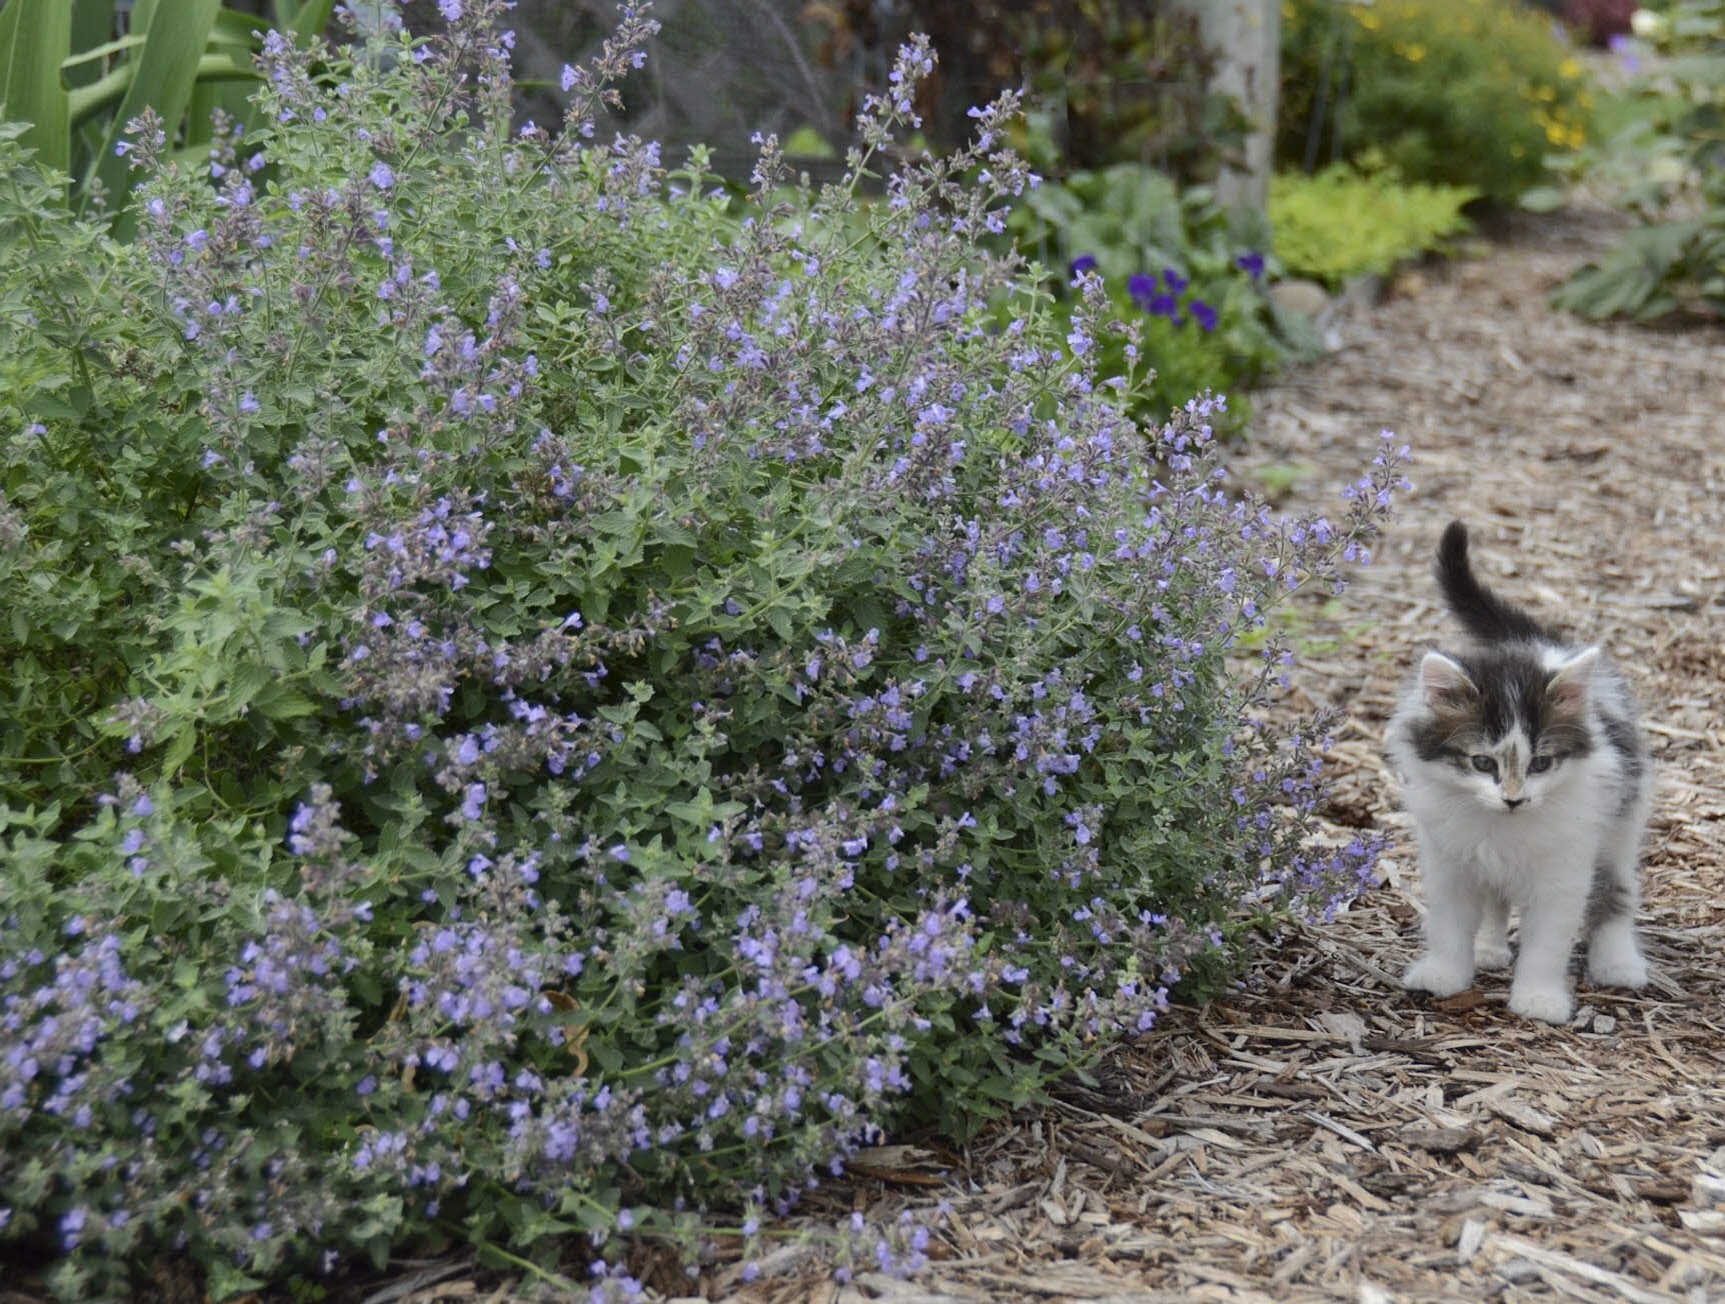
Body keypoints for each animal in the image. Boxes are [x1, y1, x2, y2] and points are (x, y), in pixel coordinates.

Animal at [1380, 517, 1649, 1021]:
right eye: (1482, 761)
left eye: (1541, 762)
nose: (1513, 799)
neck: (1501, 829)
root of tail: (1540, 645)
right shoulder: (1451, 863)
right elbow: (1450, 925)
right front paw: (1445, 973)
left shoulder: (1563, 871)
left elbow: (1547, 943)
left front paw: (1538, 999)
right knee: (1496, 900)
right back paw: (1488, 948)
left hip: (1622, 823)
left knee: (1616, 891)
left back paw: (1617, 962)